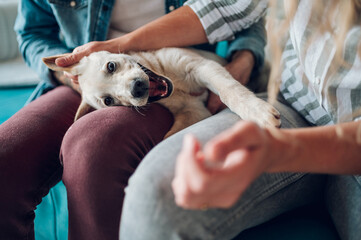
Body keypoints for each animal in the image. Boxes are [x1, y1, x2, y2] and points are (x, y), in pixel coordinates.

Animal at [41, 47, 278, 137]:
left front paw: (259, 114)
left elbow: (229, 91)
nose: (137, 88)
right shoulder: (195, 112)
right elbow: (169, 136)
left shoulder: (203, 66)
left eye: (111, 66)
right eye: (108, 101)